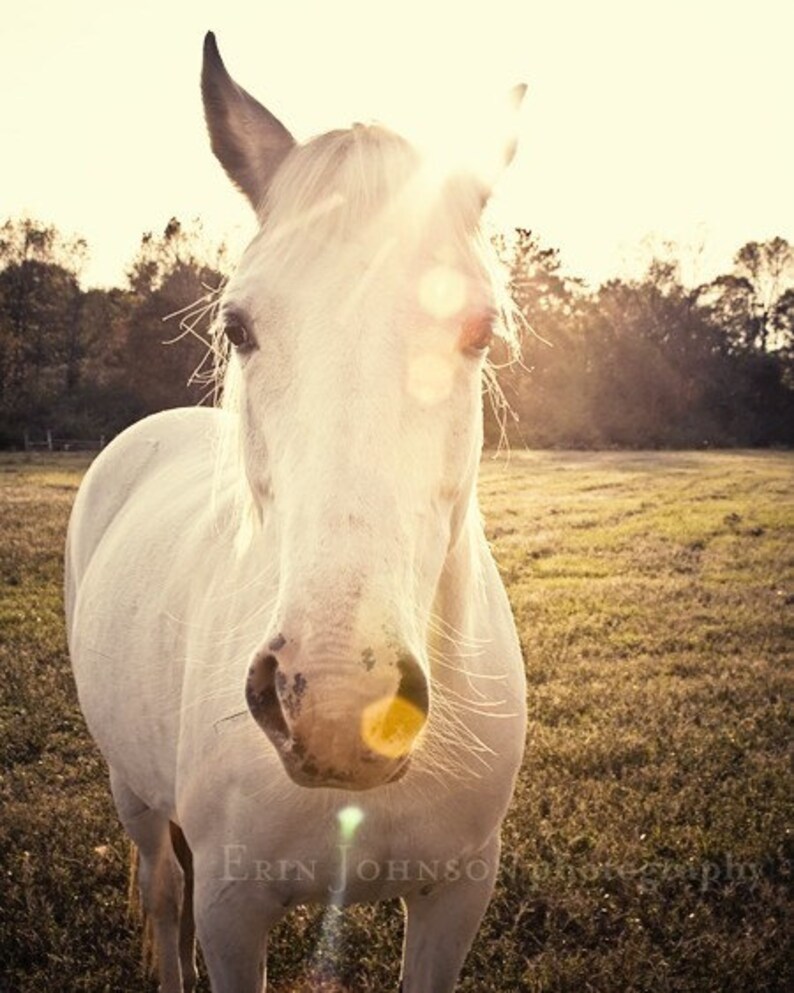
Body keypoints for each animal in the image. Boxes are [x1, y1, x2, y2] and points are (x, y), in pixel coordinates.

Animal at [65, 33, 524, 992]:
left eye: (479, 331)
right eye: (238, 326)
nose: (341, 702)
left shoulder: (457, 897)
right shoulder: (233, 913)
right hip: (133, 792)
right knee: (163, 895)